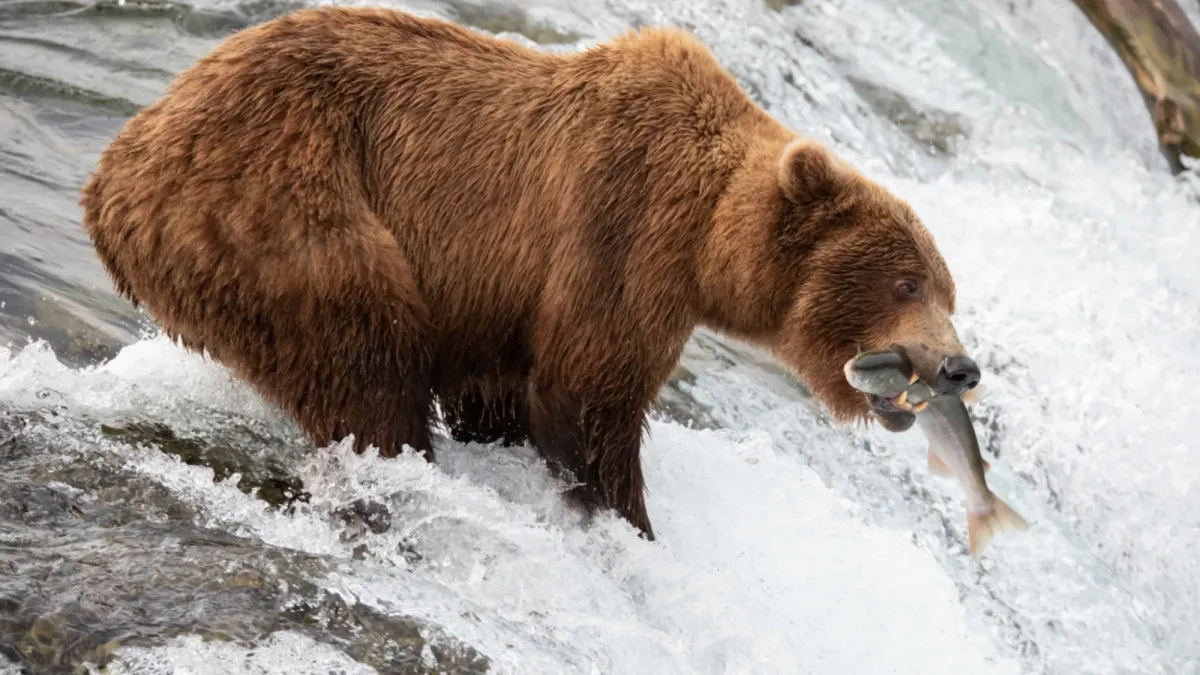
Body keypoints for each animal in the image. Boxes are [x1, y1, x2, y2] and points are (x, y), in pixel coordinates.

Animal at [79, 6, 980, 541]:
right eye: (907, 282)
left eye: (948, 289)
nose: (959, 367)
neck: (706, 240)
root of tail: (115, 170)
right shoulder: (619, 232)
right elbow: (588, 395)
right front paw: (627, 521)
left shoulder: (501, 301)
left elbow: (504, 392)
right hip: (281, 204)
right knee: (364, 356)